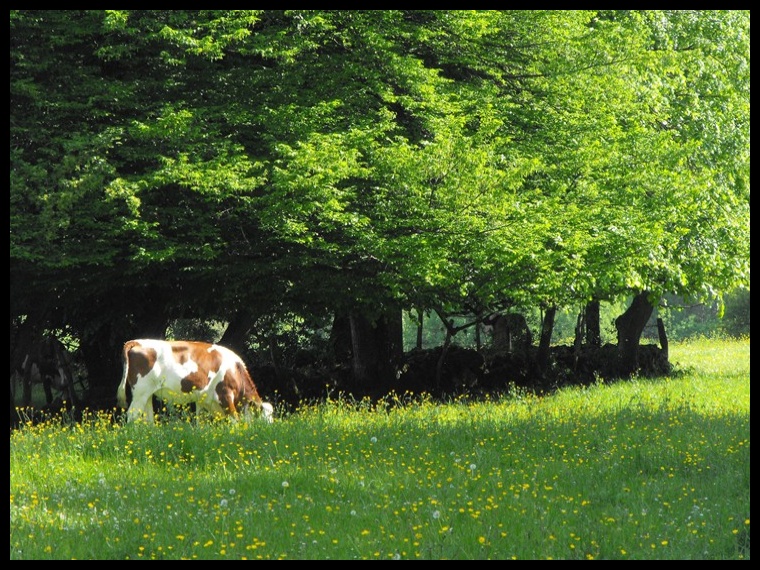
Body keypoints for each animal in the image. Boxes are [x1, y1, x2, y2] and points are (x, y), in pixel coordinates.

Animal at [116, 338, 274, 422]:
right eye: (264, 416)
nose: (270, 429)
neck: (235, 369)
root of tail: (138, 342)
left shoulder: (204, 400)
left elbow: (201, 421)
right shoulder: (225, 395)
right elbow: (235, 420)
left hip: (147, 393)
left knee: (147, 417)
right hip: (141, 392)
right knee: (132, 414)